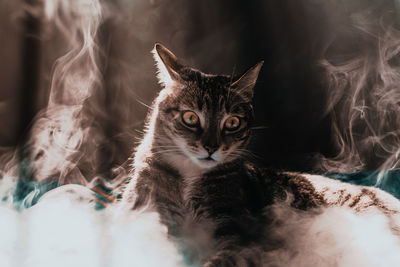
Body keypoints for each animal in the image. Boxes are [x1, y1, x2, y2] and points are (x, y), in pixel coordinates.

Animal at [120, 43, 400, 266]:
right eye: (190, 118)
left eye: (232, 123)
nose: (211, 147)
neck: (191, 177)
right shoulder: (145, 214)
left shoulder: (239, 232)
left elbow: (226, 258)